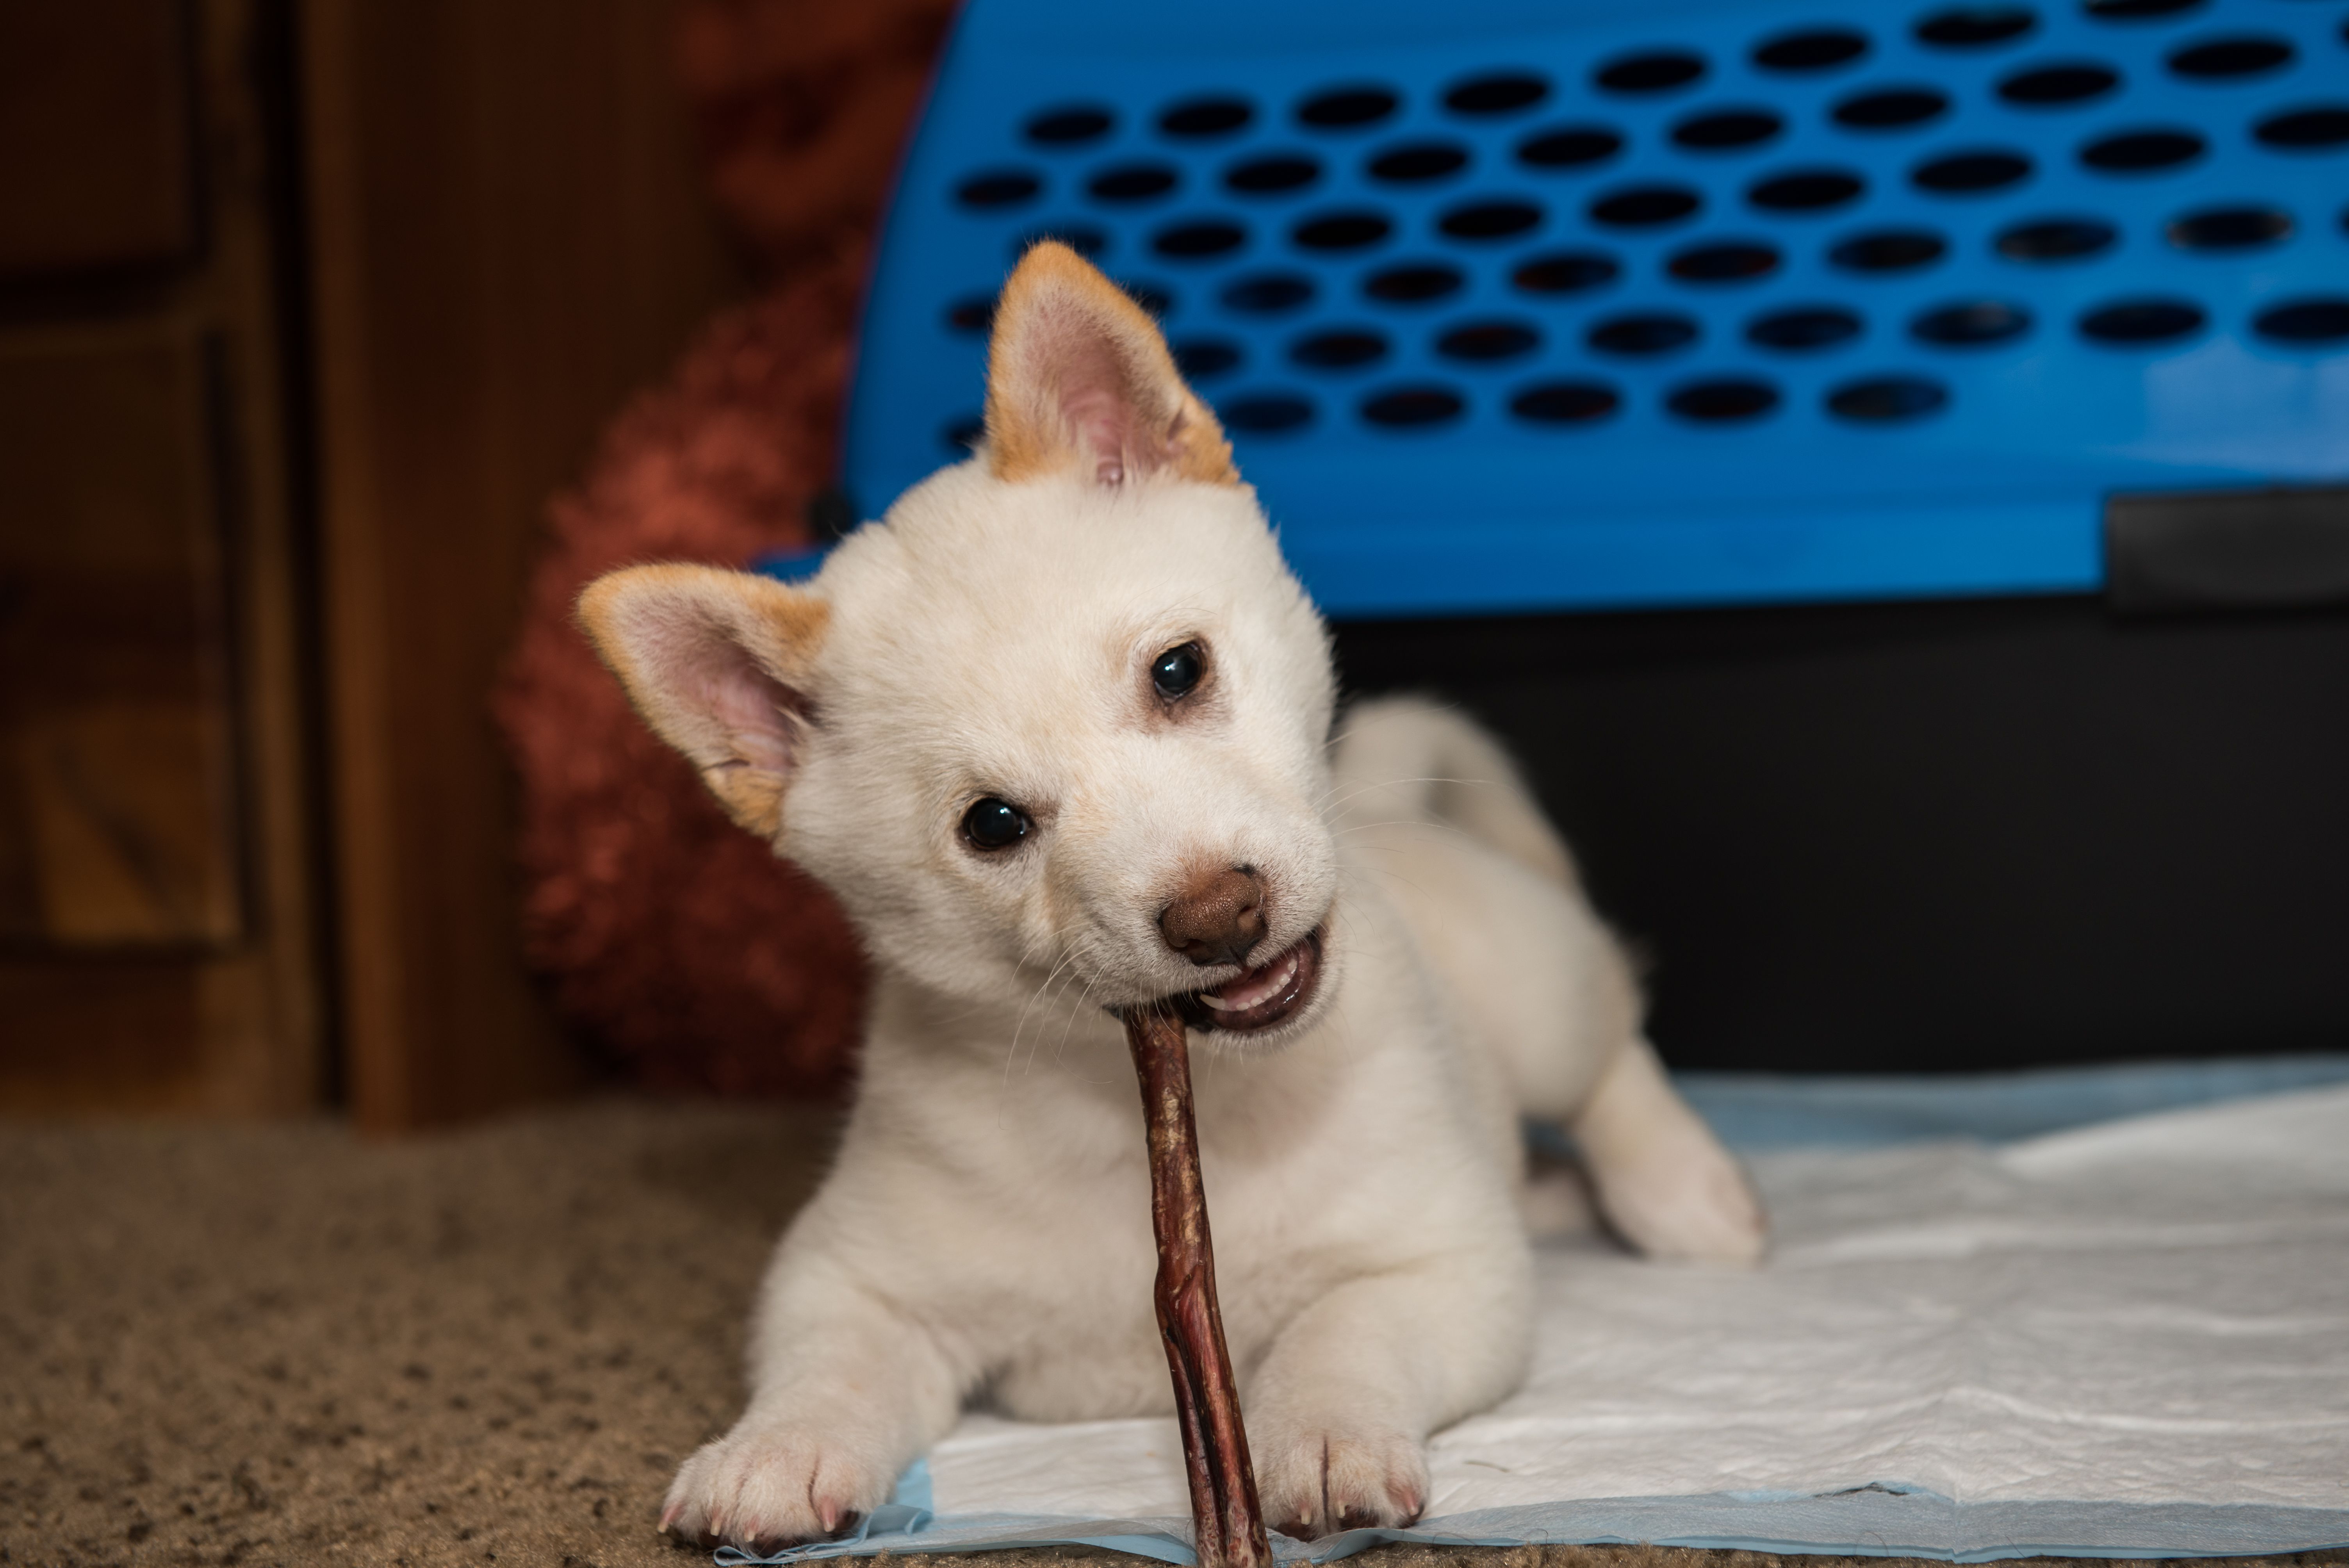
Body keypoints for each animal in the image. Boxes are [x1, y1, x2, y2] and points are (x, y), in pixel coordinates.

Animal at [582, 239, 1766, 1549]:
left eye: (1178, 670)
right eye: (992, 825)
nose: (1219, 915)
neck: (1132, 1111)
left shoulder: (1443, 1267)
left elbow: (1343, 1334)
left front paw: (1326, 1435)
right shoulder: (848, 1275)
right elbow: (826, 1364)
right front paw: (775, 1450)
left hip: (1537, 988)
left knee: (1613, 1047)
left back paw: (1686, 1192)